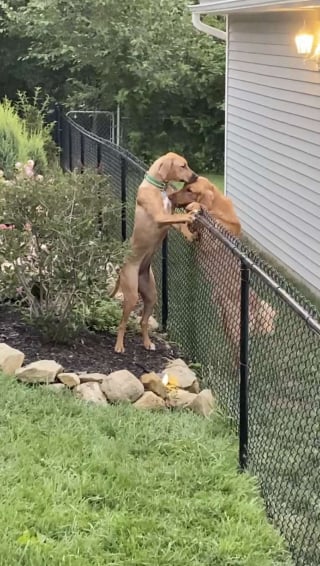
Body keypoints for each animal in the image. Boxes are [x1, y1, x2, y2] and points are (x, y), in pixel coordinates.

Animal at [111, 153, 199, 352]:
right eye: (183, 166)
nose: (195, 176)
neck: (159, 186)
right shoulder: (161, 216)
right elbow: (180, 217)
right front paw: (191, 214)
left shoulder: (170, 216)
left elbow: (180, 222)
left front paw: (190, 234)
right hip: (132, 294)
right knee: (122, 323)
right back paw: (119, 346)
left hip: (151, 295)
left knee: (143, 322)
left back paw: (147, 343)